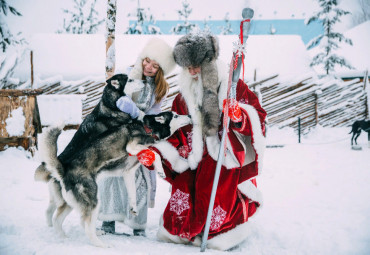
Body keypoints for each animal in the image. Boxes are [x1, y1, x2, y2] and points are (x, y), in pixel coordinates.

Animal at [39, 111, 191, 247]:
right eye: (176, 115)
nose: (189, 115)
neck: (148, 128)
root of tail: (64, 170)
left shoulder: (129, 172)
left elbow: (133, 192)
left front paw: (134, 207)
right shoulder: (132, 146)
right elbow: (156, 154)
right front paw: (160, 171)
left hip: (70, 204)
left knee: (59, 219)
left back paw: (64, 237)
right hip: (93, 201)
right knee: (86, 225)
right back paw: (100, 244)